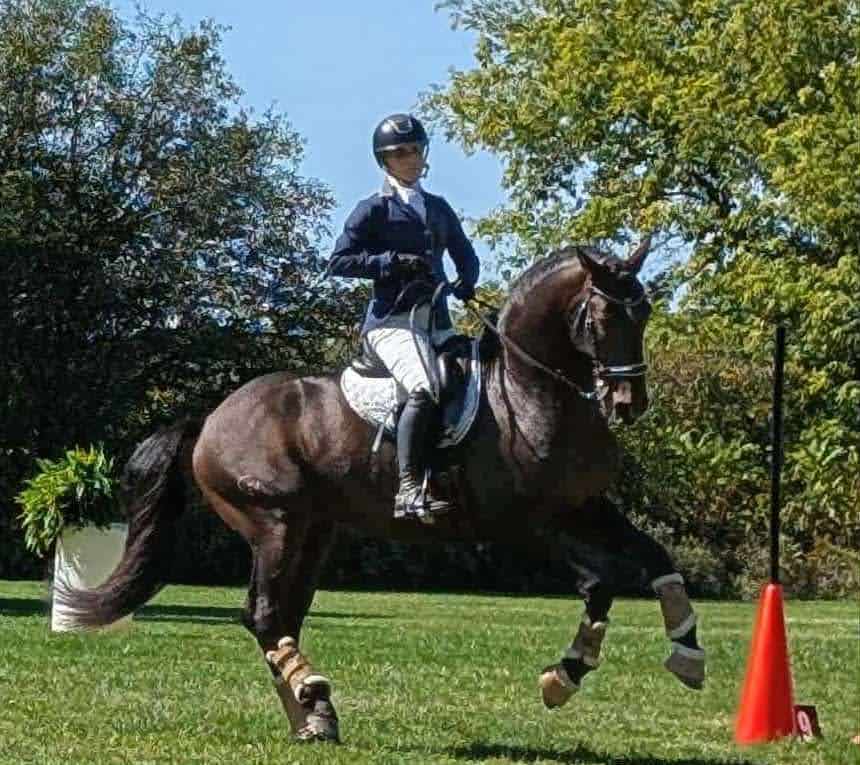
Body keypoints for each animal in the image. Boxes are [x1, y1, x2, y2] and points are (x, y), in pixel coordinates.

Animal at [56, 241, 706, 743]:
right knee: (262, 613)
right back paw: (311, 692)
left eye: (645, 312)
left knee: (282, 616)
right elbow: (600, 582)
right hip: (274, 523)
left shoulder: (583, 508)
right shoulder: (523, 523)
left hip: (314, 533)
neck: (530, 391)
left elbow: (654, 559)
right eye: (601, 318)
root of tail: (211, 417)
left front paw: (687, 655)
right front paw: (563, 677)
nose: (628, 404)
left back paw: (312, 718)